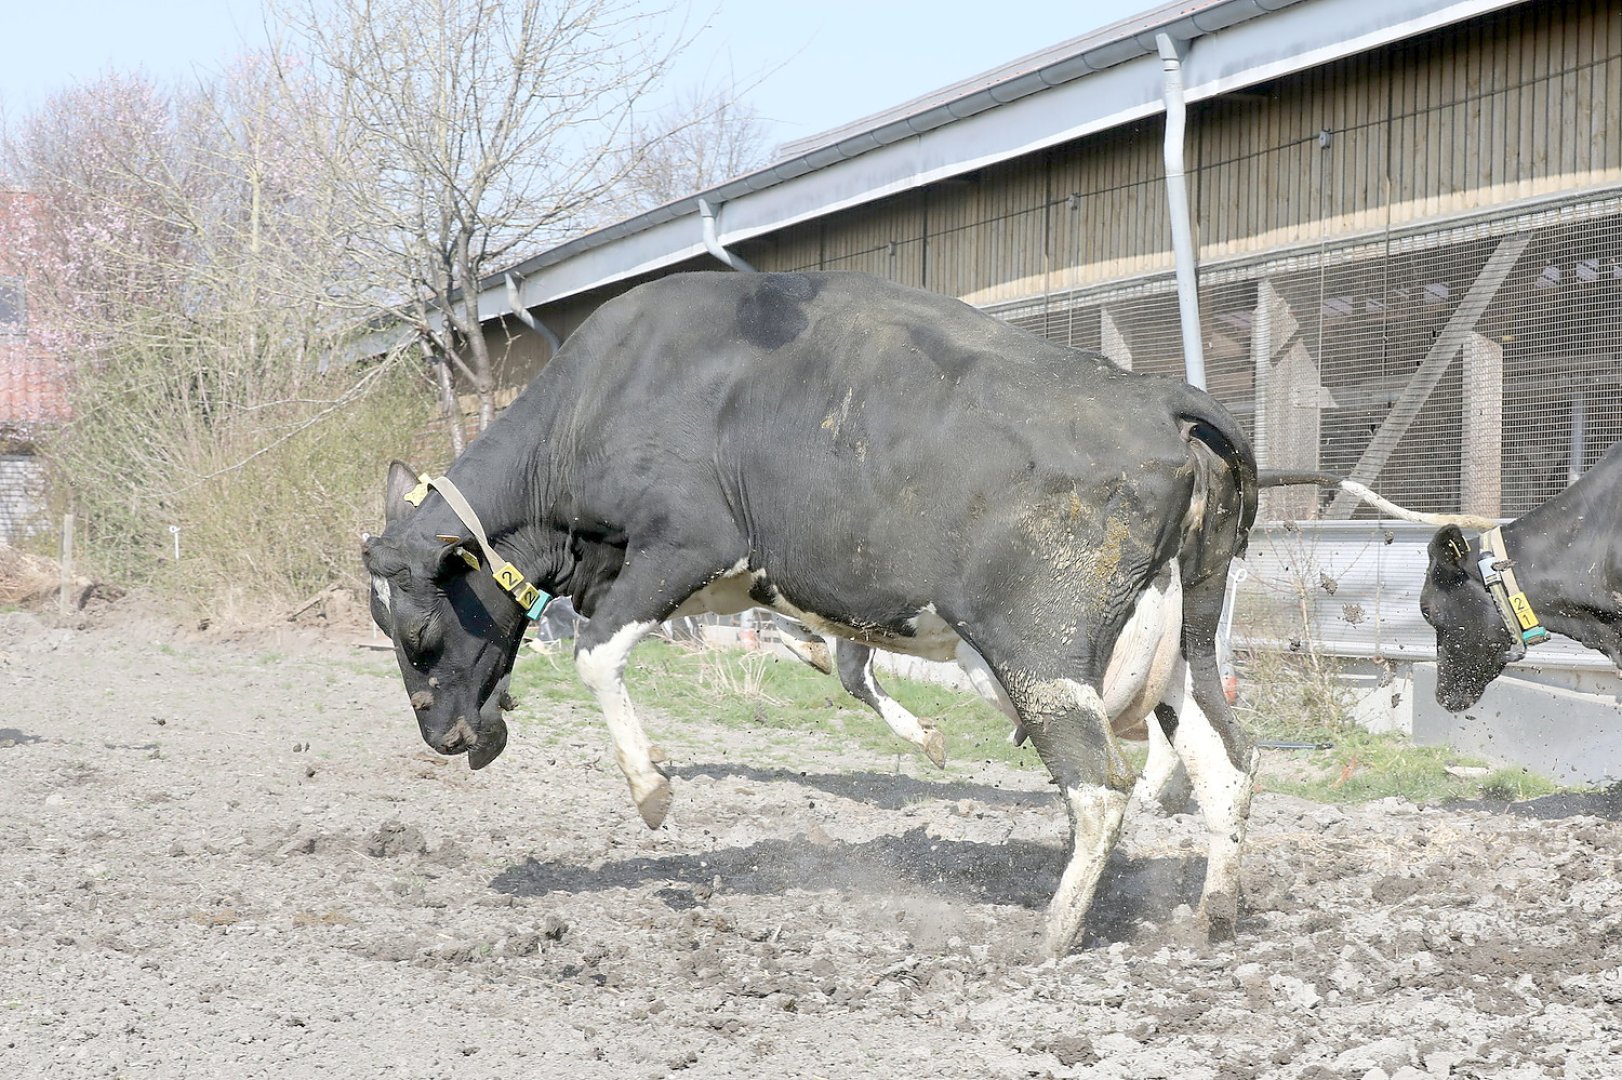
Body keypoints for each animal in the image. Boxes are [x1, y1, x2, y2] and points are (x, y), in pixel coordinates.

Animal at [362, 270, 1259, 955]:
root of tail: (1156, 398)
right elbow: (841, 664)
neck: (607, 393)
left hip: (1038, 650)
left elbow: (596, 653)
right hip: (1189, 643)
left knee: (1101, 784)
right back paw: (1213, 915)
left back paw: (1052, 935)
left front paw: (652, 790)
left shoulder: (685, 543)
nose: (443, 739)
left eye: (416, 629)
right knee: (1228, 765)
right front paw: (919, 734)